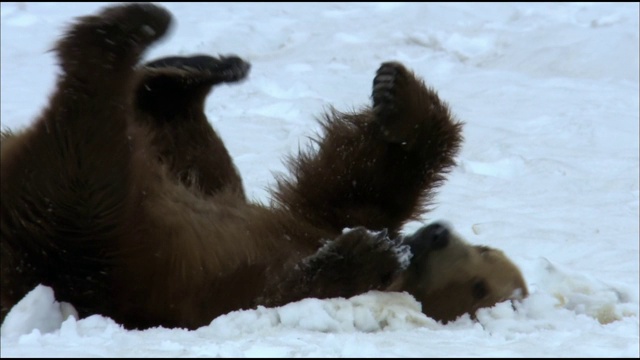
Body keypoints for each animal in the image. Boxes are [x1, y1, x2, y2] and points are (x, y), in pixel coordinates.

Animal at [0, 2, 528, 330]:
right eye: (484, 250)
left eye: (479, 287)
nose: (436, 235)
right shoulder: (317, 218)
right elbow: (353, 183)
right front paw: (396, 94)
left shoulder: (201, 292)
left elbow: (270, 288)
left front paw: (364, 252)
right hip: (159, 188)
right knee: (177, 144)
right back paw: (198, 65)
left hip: (97, 236)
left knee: (83, 154)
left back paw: (125, 34)